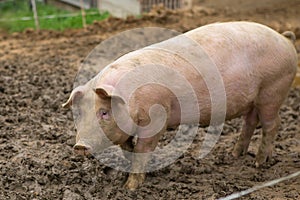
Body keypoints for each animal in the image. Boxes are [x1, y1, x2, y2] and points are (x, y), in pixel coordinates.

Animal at [63, 21, 298, 190]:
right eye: (79, 114)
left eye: (104, 112)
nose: (80, 146)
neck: (130, 98)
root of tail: (284, 39)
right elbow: (128, 149)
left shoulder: (156, 118)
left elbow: (143, 149)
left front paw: (131, 188)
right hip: (254, 100)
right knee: (250, 122)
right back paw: (234, 155)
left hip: (273, 90)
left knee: (272, 124)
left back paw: (259, 162)